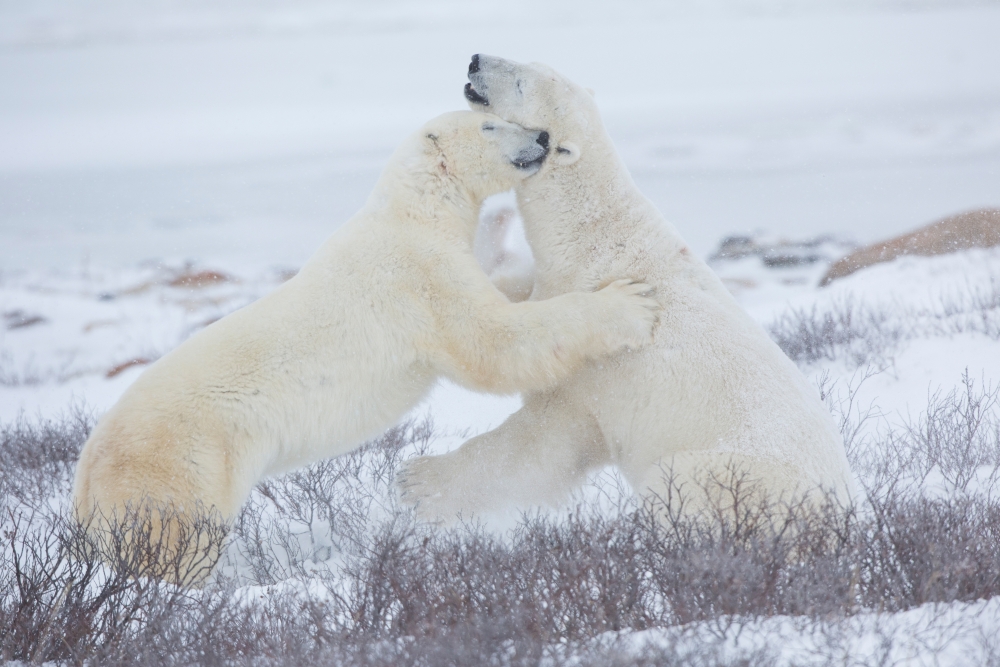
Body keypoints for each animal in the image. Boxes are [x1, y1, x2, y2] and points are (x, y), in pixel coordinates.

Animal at [71, 110, 660, 581]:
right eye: (491, 125)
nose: (542, 135)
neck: (414, 211)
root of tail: (84, 485)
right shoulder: (418, 276)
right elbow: (493, 342)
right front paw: (630, 303)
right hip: (180, 470)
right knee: (173, 544)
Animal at [397, 57, 855, 522]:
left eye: (523, 83)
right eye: (530, 62)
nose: (476, 60)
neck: (591, 236)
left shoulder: (597, 371)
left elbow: (543, 440)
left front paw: (421, 481)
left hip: (723, 475)